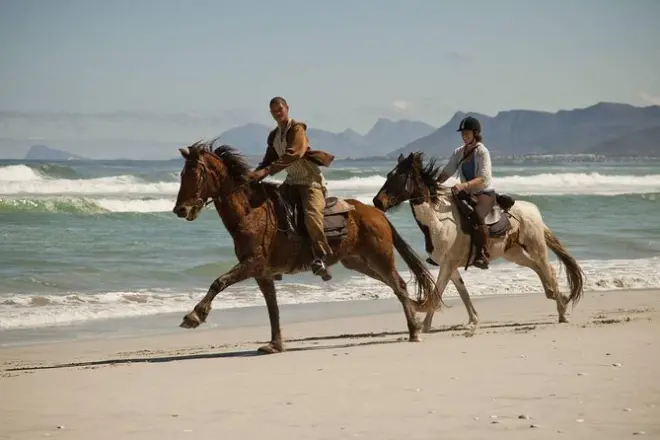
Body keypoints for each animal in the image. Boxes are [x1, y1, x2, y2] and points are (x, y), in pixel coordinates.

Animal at [171, 141, 442, 353]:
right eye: (182, 175)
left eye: (196, 174)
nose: (180, 209)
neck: (250, 213)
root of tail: (376, 212)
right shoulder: (262, 273)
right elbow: (272, 307)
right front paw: (275, 344)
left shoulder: (252, 264)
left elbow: (219, 282)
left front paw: (194, 315)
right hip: (358, 262)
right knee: (396, 286)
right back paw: (415, 324)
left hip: (380, 257)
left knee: (399, 285)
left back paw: (414, 331)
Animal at [372, 151, 585, 333]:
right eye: (389, 175)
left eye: (399, 177)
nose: (377, 202)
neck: (438, 221)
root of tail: (533, 210)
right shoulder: (450, 266)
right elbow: (462, 291)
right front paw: (473, 320)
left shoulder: (447, 265)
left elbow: (437, 291)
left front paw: (424, 326)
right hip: (514, 253)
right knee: (538, 268)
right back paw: (557, 297)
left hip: (536, 247)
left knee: (548, 270)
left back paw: (562, 312)